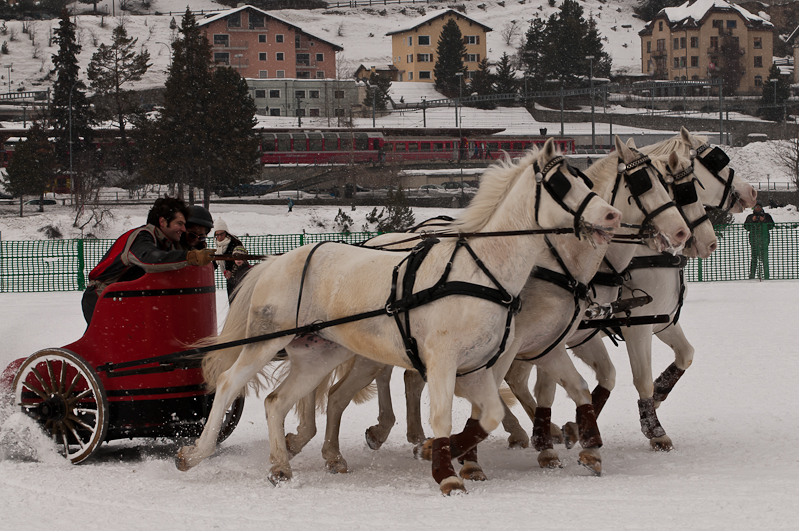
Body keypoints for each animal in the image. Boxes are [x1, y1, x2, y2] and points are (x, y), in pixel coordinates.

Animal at [178, 139, 620, 496]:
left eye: (585, 180)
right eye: (561, 184)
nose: (612, 216)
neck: (481, 272)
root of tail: (274, 261)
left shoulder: (477, 367)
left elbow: (490, 415)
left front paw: (437, 451)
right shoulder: (443, 362)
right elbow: (442, 414)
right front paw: (446, 472)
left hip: (319, 353)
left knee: (277, 402)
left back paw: (282, 466)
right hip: (266, 340)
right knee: (229, 383)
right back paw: (197, 452)